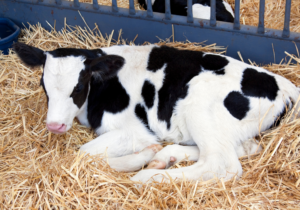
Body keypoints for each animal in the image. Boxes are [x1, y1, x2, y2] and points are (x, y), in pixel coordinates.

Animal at [14, 43, 300, 184]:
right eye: (43, 85)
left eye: (79, 86)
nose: (54, 126)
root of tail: (286, 87)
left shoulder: (134, 130)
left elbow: (83, 154)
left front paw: (139, 158)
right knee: (246, 147)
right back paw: (164, 157)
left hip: (198, 102)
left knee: (221, 164)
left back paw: (147, 174)